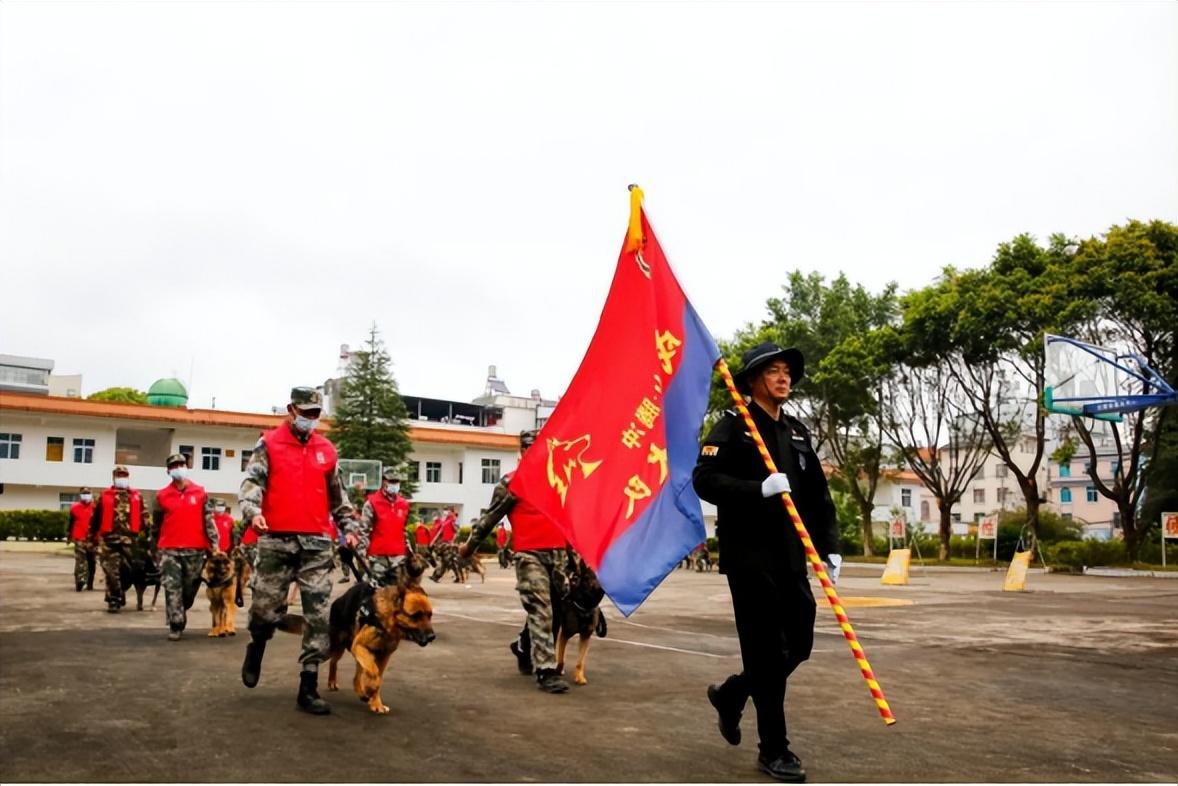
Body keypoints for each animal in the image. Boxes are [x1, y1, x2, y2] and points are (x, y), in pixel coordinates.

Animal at [325, 558, 435, 711]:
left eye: (430, 615)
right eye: (415, 616)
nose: (432, 637)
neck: (389, 623)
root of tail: (340, 599)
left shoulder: (384, 655)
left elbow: (378, 677)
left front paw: (375, 702)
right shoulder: (360, 646)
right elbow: (374, 673)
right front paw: (370, 690)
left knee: (356, 676)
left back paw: (360, 692)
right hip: (340, 647)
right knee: (333, 661)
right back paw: (332, 681)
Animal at [553, 553, 607, 688]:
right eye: (587, 578)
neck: (584, 608)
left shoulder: (585, 636)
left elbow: (580, 661)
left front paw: (579, 677)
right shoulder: (565, 634)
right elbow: (561, 658)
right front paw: (558, 669)